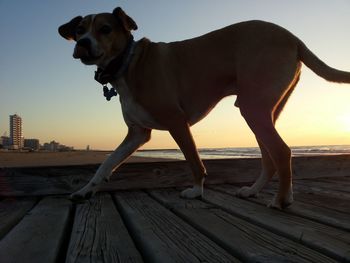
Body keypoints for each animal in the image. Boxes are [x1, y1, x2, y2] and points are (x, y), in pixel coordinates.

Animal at [58, 6, 350, 209]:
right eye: (80, 30)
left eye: (105, 29)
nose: (82, 43)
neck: (129, 63)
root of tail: (293, 37)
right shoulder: (137, 134)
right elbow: (107, 163)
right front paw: (85, 190)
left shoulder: (177, 122)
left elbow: (194, 161)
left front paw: (196, 191)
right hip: (262, 113)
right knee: (269, 157)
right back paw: (253, 191)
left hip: (253, 110)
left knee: (282, 151)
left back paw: (281, 200)